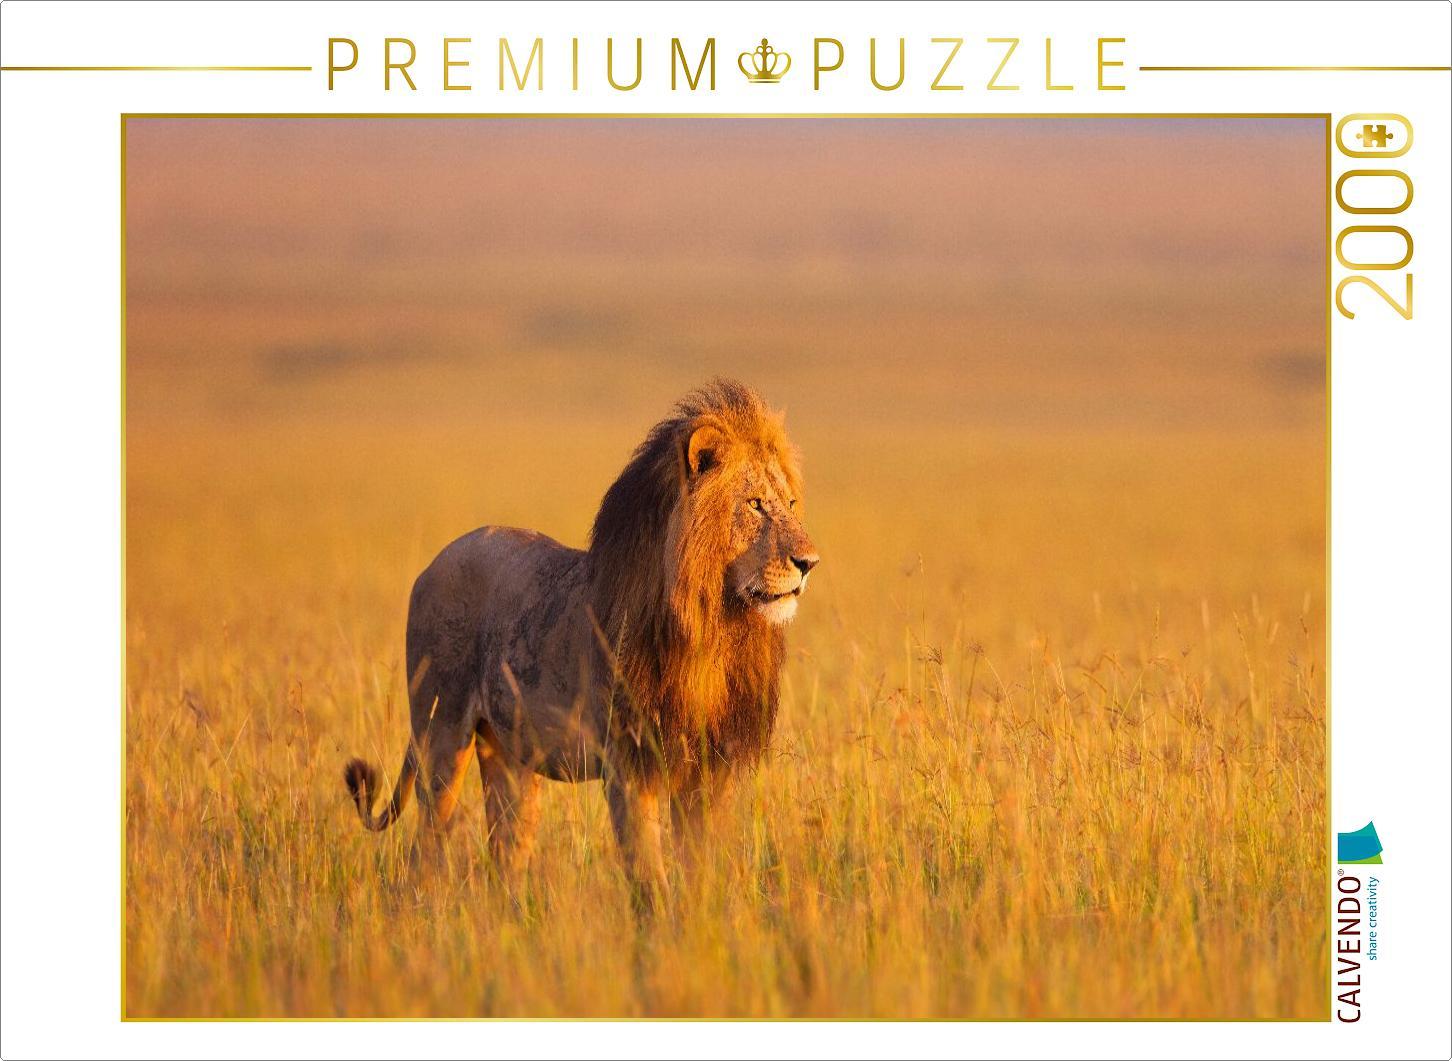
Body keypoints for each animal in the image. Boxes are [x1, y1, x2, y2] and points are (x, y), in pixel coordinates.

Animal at [344, 379, 819, 902]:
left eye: (791, 505)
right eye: (754, 504)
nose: (809, 562)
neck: (713, 628)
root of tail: (433, 563)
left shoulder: (710, 765)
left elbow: (702, 864)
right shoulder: (629, 762)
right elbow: (647, 872)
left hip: (511, 759)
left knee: (505, 852)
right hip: (442, 734)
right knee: (425, 847)